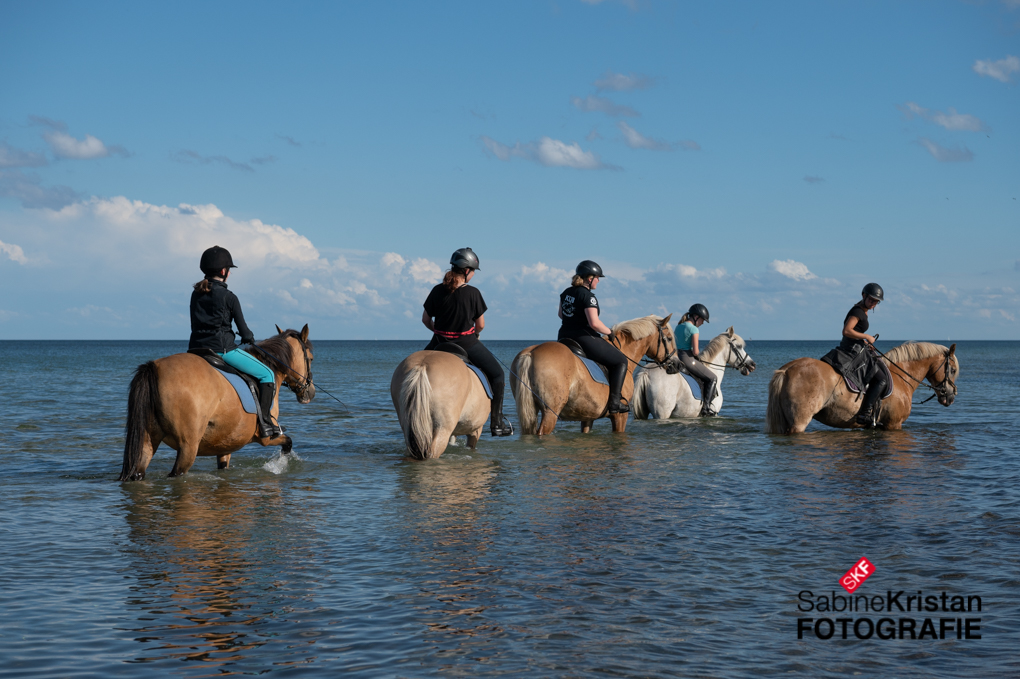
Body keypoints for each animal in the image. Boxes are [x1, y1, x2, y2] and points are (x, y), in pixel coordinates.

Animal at [117, 326, 314, 479]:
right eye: (311, 358)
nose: (310, 392)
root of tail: (155, 367)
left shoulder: (225, 444)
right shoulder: (265, 439)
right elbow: (287, 443)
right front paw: (282, 464)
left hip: (147, 442)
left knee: (138, 472)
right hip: (188, 447)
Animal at [510, 314, 685, 434]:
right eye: (669, 338)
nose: (678, 364)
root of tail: (531, 353)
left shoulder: (588, 417)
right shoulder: (620, 416)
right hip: (550, 412)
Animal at [767, 340, 958, 430]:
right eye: (953, 370)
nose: (950, 396)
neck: (901, 377)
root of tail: (786, 370)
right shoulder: (893, 425)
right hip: (799, 422)